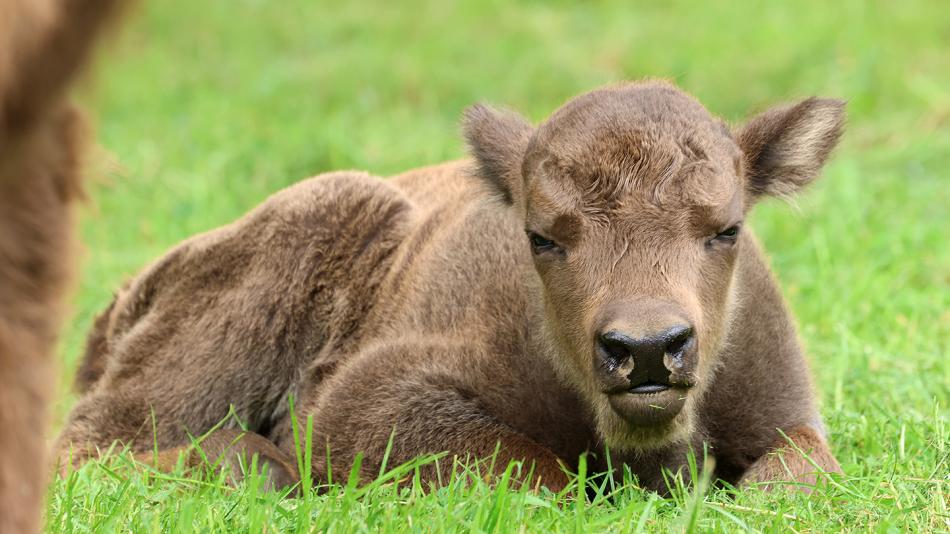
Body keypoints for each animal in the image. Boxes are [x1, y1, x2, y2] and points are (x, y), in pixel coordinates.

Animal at [59, 79, 844, 494]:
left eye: (726, 229)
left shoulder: (788, 415)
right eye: (542, 236)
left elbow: (798, 470)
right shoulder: (369, 395)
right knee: (92, 444)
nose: (647, 349)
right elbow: (533, 467)